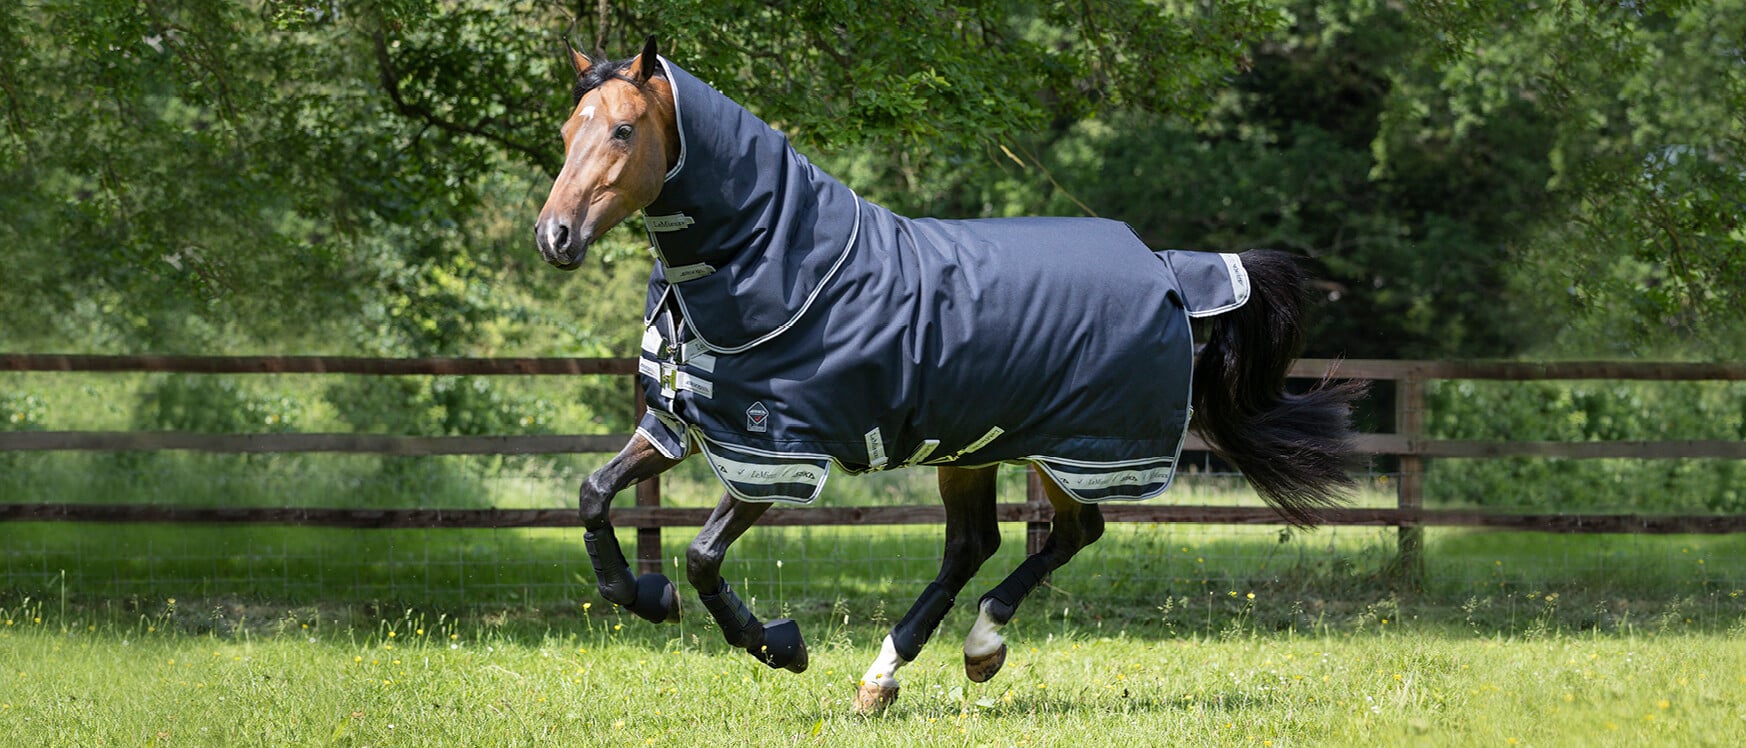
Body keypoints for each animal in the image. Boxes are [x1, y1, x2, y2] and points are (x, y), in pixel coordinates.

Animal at [534, 36, 1364, 713]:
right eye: (569, 131)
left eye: (623, 129)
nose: (555, 237)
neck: (777, 266)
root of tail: (1166, 266)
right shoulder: (679, 425)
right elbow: (593, 496)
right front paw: (644, 595)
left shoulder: (778, 456)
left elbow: (703, 557)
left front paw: (779, 645)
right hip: (975, 446)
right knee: (978, 545)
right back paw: (890, 677)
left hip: (1077, 447)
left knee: (1069, 533)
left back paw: (972, 648)